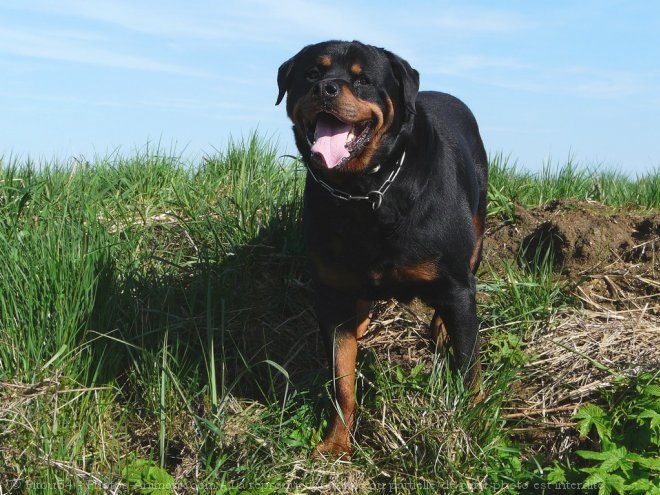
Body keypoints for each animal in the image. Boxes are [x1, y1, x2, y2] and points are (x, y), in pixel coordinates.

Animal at [276, 40, 488, 460]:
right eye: (311, 73)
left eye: (363, 80)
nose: (326, 88)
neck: (363, 192)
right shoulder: (331, 294)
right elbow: (342, 380)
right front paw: (336, 441)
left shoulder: (455, 283)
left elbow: (468, 364)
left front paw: (473, 421)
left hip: (477, 229)